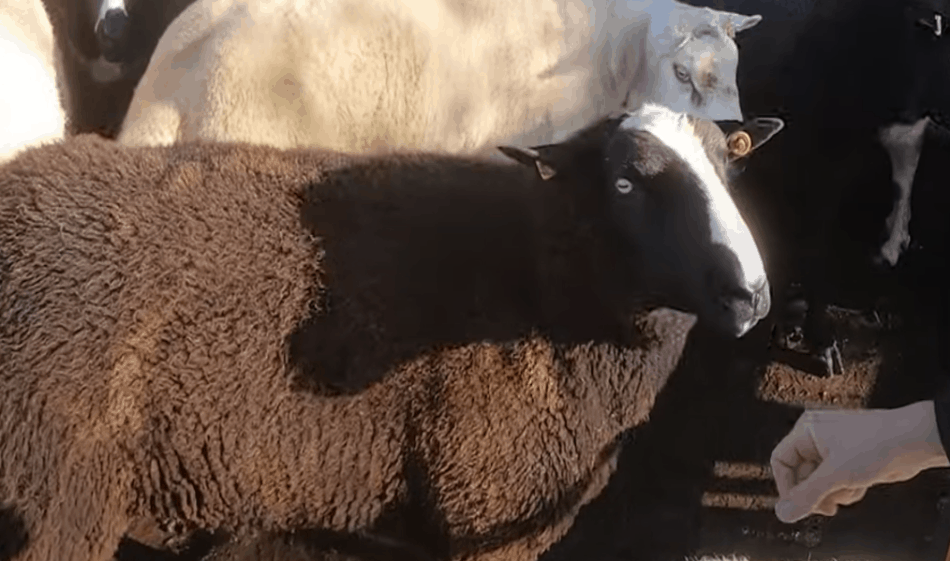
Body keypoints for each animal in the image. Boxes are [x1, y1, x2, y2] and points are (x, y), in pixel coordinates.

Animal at [0, 104, 784, 560]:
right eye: (625, 183)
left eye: (730, 165)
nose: (750, 294)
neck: (536, 281)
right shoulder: (487, 503)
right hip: (53, 500)